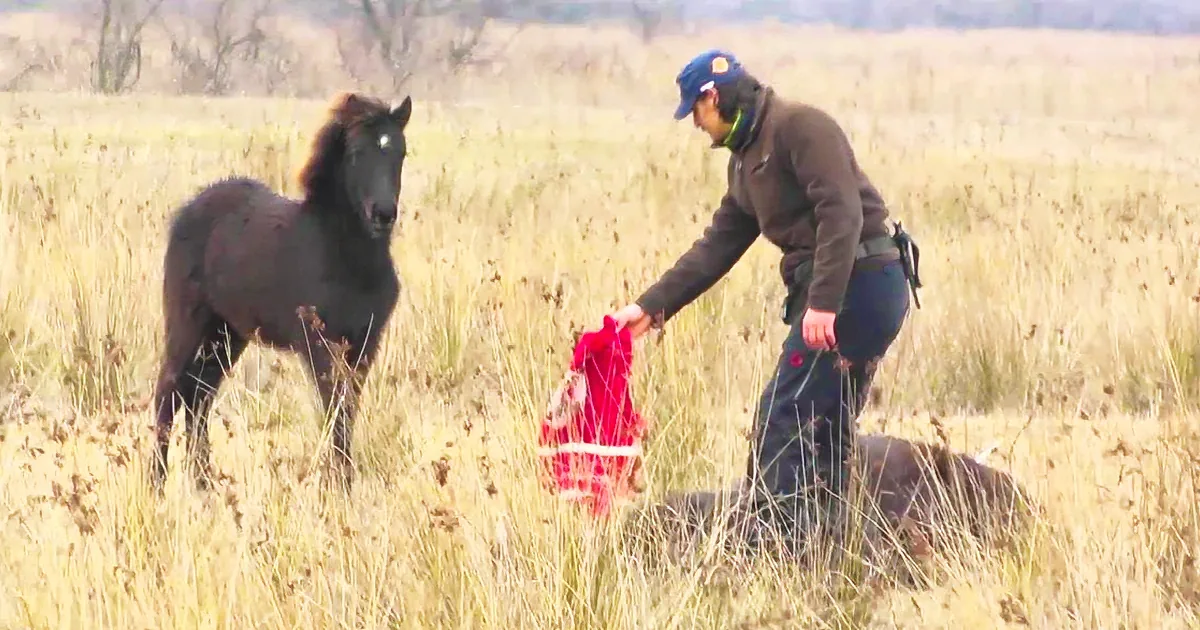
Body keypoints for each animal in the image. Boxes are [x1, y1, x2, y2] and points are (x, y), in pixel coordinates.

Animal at [150, 91, 413, 493]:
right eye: (356, 153)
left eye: (400, 151)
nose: (383, 213)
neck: (345, 255)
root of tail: (187, 211)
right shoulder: (320, 344)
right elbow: (334, 409)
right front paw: (338, 487)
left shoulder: (365, 343)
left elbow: (348, 409)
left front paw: (344, 482)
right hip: (188, 325)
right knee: (168, 390)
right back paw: (157, 481)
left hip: (227, 335)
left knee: (199, 396)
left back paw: (204, 483)